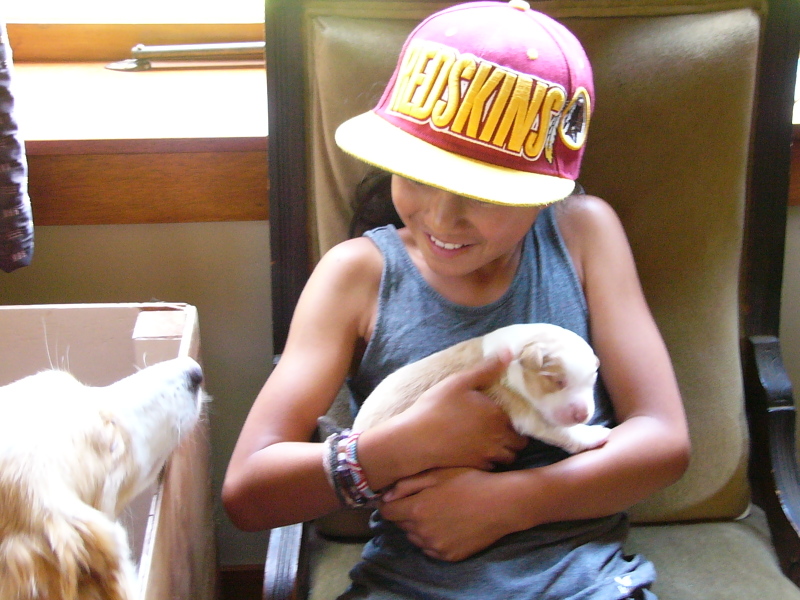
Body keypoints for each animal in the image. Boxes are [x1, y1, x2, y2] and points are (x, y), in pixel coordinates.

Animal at [352, 323, 610, 454]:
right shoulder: (518, 405)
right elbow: (557, 429)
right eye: (557, 381)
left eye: (592, 380)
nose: (583, 415)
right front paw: (594, 434)